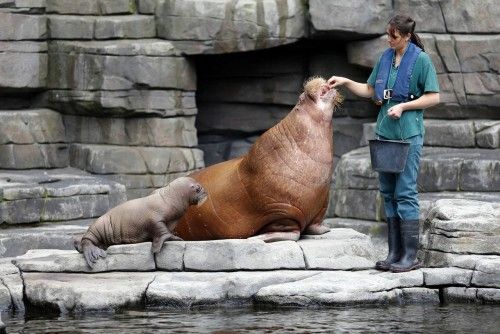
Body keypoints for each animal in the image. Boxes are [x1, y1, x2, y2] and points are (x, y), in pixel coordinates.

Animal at [74, 177, 207, 268]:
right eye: (198, 188)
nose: (206, 192)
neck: (169, 199)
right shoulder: (155, 219)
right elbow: (162, 232)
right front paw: (170, 241)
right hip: (97, 226)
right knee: (87, 240)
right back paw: (93, 252)